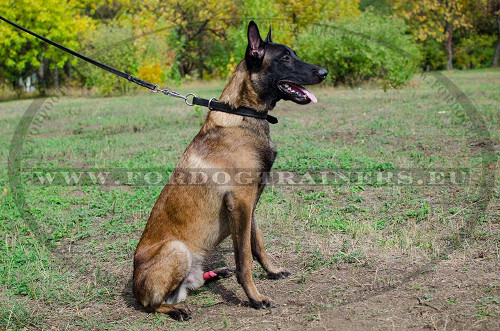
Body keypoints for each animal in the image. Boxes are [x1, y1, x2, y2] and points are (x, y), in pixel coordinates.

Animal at [133, 20, 328, 322]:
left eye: (293, 53)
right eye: (284, 58)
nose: (323, 72)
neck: (243, 114)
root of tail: (133, 286)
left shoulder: (249, 205)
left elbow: (257, 244)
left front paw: (272, 271)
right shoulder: (241, 202)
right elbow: (244, 259)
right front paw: (255, 297)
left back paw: (216, 273)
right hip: (177, 250)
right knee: (152, 304)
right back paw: (177, 308)